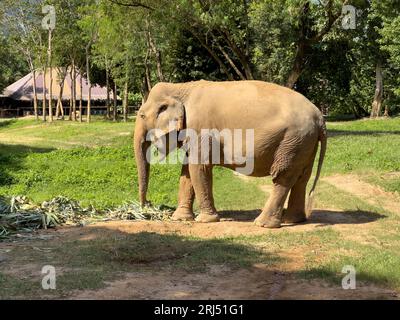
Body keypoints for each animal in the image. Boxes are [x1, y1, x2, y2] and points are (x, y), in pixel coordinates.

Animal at [134, 81, 324, 229]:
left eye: (142, 115)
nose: (146, 206)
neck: (181, 87)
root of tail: (319, 117)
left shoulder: (200, 129)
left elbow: (198, 168)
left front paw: (205, 220)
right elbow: (187, 172)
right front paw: (179, 218)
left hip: (292, 140)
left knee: (283, 177)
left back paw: (263, 224)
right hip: (304, 143)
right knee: (302, 178)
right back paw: (293, 220)